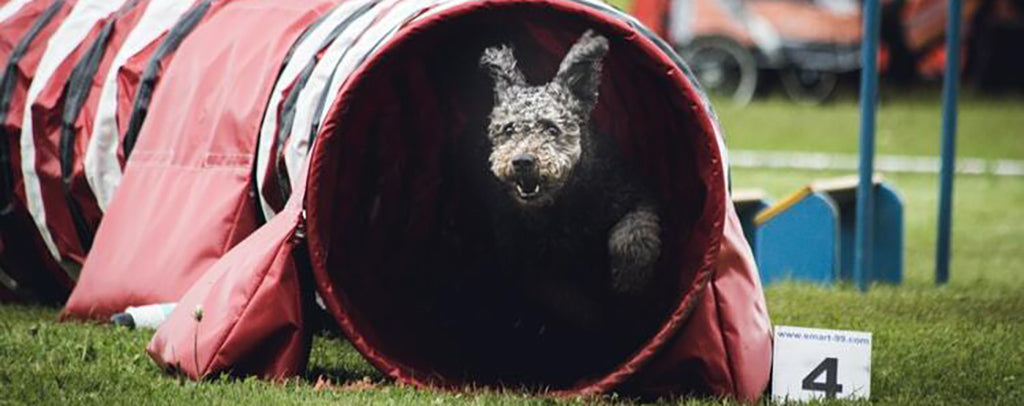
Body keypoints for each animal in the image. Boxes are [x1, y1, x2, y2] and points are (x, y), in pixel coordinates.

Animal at [475, 30, 659, 330]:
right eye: (509, 129)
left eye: (551, 128)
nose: (523, 161)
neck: (564, 203)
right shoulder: (529, 259)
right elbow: (562, 294)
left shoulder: (635, 195)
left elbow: (633, 232)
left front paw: (628, 279)